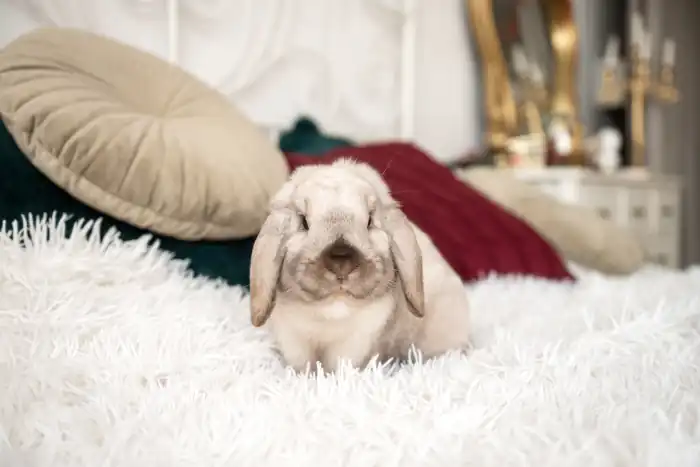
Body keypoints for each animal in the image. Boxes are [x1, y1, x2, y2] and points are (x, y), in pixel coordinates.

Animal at [249, 158, 470, 373]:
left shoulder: (356, 342)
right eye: (303, 222)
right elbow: (301, 367)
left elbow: (340, 368)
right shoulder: (293, 340)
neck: (331, 311)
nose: (341, 260)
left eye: (370, 220)